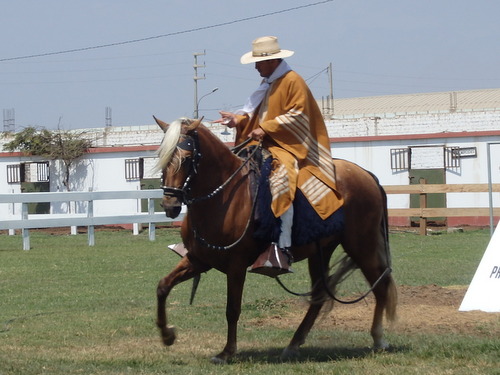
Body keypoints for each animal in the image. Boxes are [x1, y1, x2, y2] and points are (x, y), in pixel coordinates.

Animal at [154, 117, 396, 364]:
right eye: (162, 156)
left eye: (187, 158)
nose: (170, 205)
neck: (225, 196)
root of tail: (366, 174)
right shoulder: (198, 259)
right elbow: (163, 287)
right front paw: (167, 334)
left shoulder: (236, 265)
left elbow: (232, 309)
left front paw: (227, 352)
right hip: (322, 251)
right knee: (320, 294)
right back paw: (294, 344)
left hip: (362, 245)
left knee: (381, 285)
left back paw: (378, 338)